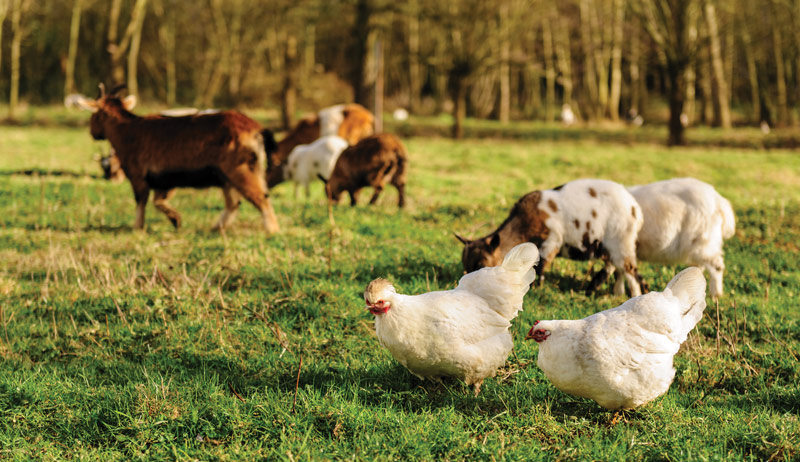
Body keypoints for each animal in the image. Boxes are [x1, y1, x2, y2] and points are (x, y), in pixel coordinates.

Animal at [76, 84, 279, 233]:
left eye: (94, 114)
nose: (93, 132)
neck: (125, 130)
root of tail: (257, 129)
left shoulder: (138, 175)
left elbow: (142, 201)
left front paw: (137, 227)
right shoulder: (164, 179)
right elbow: (158, 201)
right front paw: (176, 220)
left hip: (241, 168)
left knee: (261, 197)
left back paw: (272, 230)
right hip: (225, 176)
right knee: (233, 203)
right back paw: (216, 228)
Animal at [456, 179, 644, 296]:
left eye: (481, 264)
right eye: (465, 265)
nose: (469, 286)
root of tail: (635, 208)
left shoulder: (552, 239)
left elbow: (542, 265)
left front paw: (536, 288)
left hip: (621, 239)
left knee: (629, 269)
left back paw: (633, 295)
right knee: (615, 267)